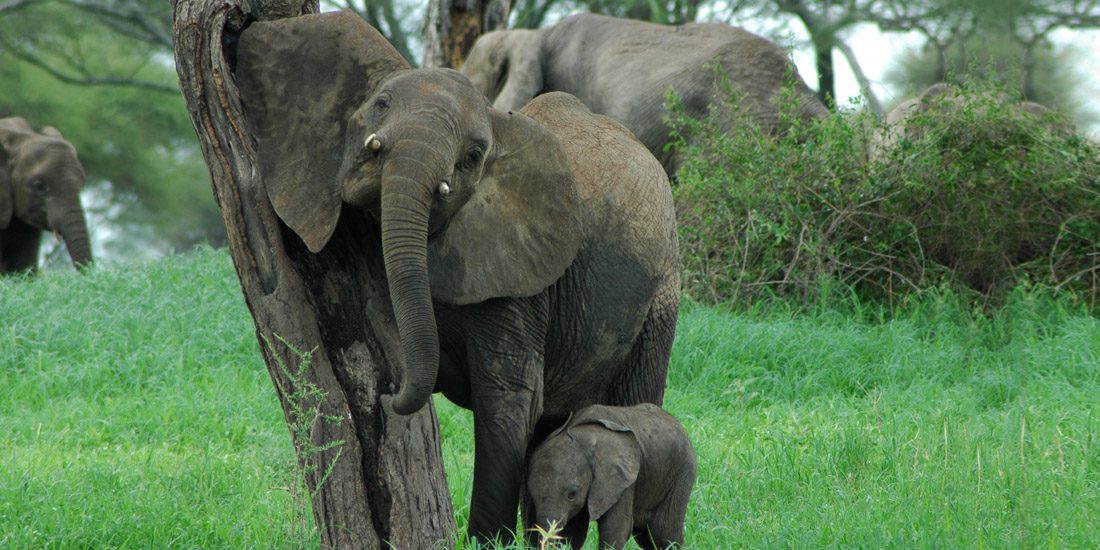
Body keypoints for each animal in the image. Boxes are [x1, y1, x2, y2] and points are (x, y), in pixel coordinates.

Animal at [234, 12, 679, 546]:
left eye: (472, 157)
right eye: (379, 104)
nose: (388, 394)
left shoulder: (521, 279)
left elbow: (508, 400)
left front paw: (485, 542)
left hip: (662, 288)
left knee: (629, 400)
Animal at [527, 403, 696, 550]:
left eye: (572, 494)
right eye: (532, 496)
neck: (582, 438)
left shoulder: (623, 480)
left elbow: (614, 528)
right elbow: (574, 532)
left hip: (683, 471)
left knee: (664, 532)